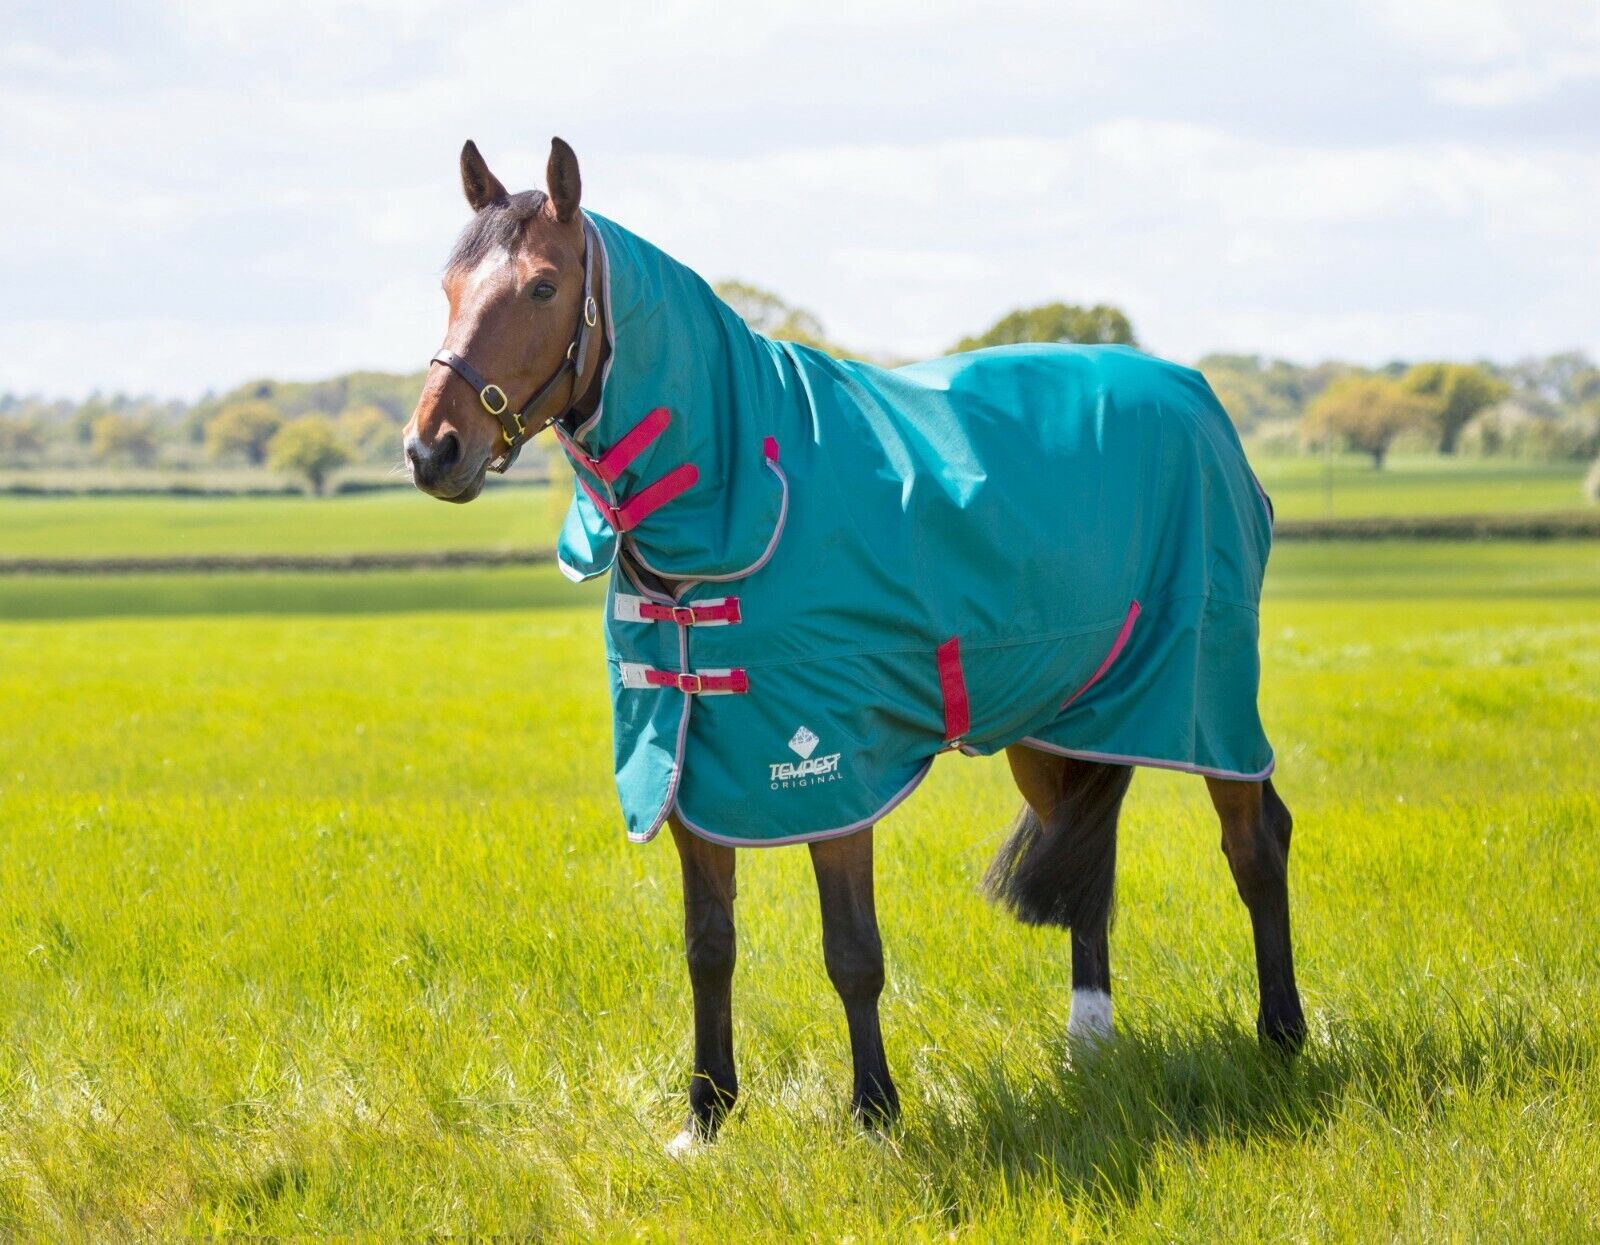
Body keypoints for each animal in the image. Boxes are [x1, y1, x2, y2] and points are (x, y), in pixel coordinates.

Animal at [403, 137, 1305, 1151]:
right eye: (448, 284)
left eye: (544, 286)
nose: (431, 450)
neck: (744, 493)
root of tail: (1198, 399)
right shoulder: (685, 768)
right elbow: (708, 947)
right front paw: (706, 1116)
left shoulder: (830, 770)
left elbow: (852, 951)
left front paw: (875, 1112)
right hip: (1055, 718)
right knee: (1087, 852)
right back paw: (1091, 1042)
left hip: (1205, 694)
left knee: (1256, 842)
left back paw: (1281, 1035)